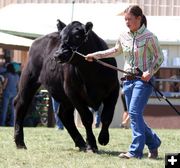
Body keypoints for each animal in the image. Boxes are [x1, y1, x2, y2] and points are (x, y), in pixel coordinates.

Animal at [14, 20, 119, 152]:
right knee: (21, 105)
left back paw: (81, 143)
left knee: (64, 115)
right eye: (61, 37)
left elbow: (107, 116)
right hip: (29, 80)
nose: (58, 54)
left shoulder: (114, 91)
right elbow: (87, 118)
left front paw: (103, 138)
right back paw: (20, 142)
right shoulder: (73, 93)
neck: (91, 72)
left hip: (63, 97)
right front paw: (91, 144)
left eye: (77, 36)